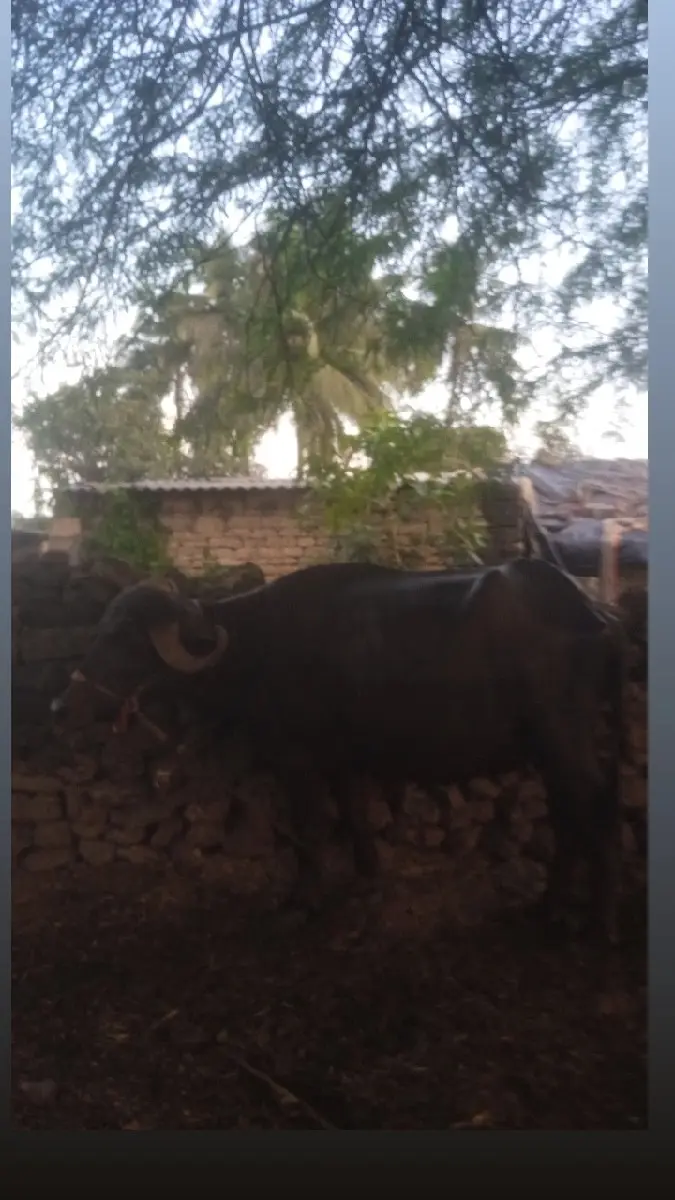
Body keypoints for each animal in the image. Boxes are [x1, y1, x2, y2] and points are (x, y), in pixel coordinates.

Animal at [51, 558, 626, 942]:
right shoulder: (343, 756)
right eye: (101, 628)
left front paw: (302, 901)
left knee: (595, 808)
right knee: (569, 813)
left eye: (126, 638)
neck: (257, 645)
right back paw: (548, 907)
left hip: (564, 739)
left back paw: (599, 921)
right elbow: (353, 813)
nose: (62, 706)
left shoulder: (296, 759)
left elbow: (309, 828)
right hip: (550, 752)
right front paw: (369, 877)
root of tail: (595, 611)